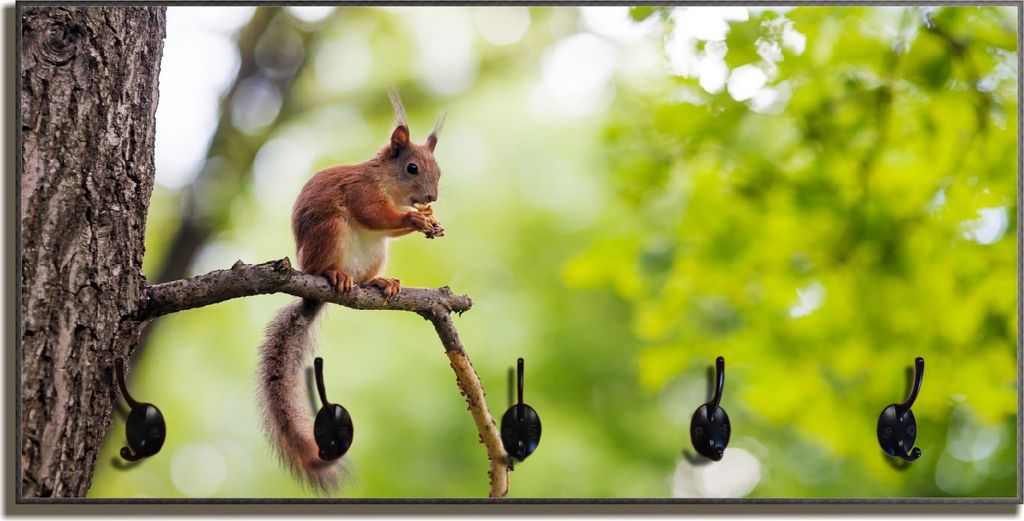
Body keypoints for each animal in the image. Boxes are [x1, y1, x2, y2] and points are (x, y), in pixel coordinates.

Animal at [257, 91, 445, 492]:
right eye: (412, 168)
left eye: (438, 170)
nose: (432, 196)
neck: (386, 182)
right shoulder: (361, 192)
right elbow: (374, 214)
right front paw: (414, 218)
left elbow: (388, 226)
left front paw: (430, 222)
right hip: (330, 231)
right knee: (327, 265)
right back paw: (335, 275)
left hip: (376, 253)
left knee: (365, 276)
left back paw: (379, 282)